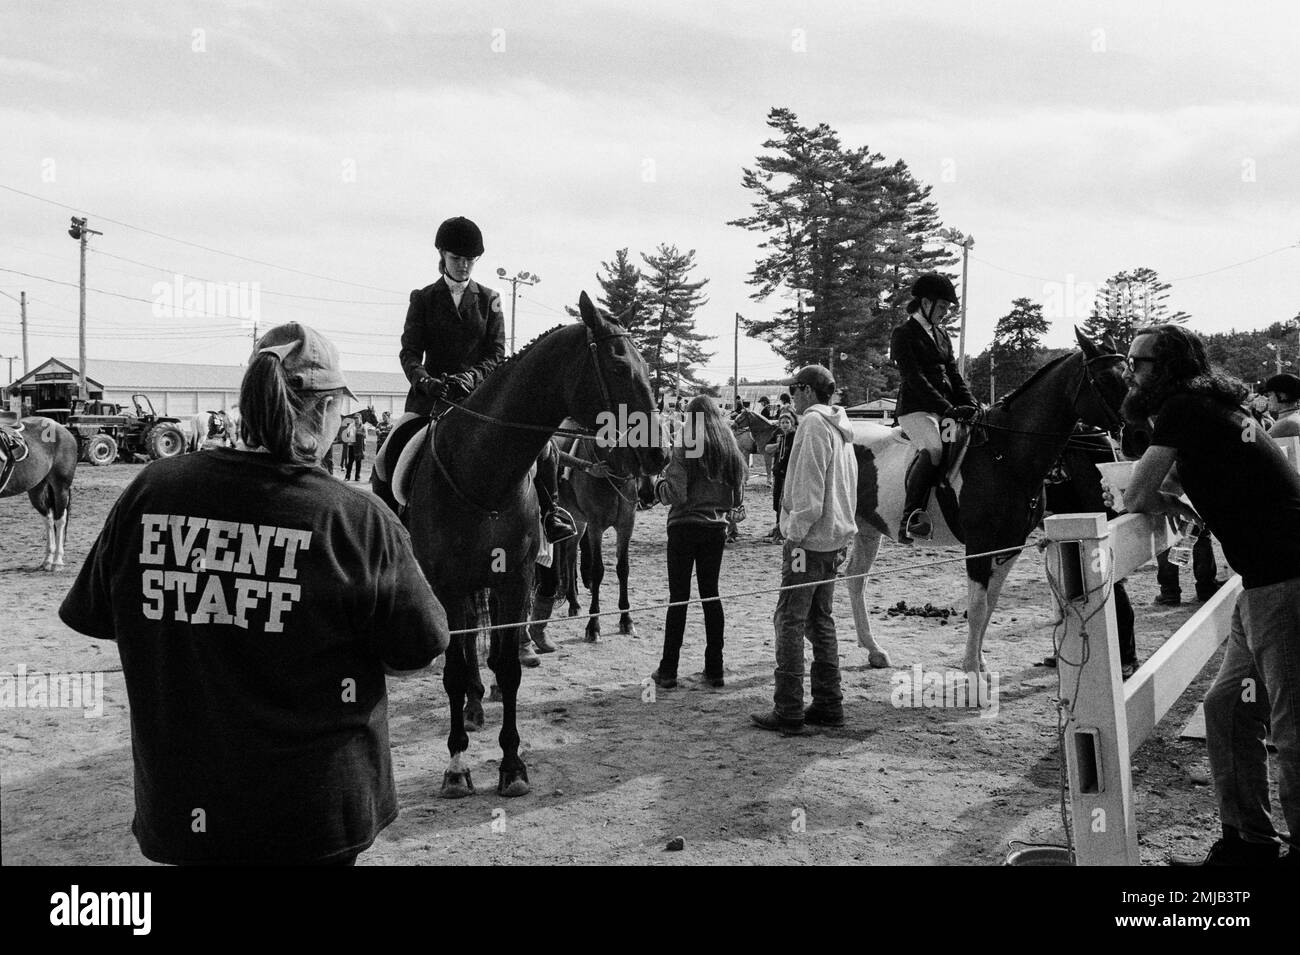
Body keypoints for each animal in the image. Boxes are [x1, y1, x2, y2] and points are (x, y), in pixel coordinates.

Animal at [0, 415, 79, 566]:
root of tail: (60, 427)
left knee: (60, 520)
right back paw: (48, 559)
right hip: (36, 489)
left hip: (61, 487)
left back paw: (57, 561)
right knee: (48, 518)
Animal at [403, 293, 670, 800]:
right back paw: (471, 706)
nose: (658, 455)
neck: (482, 471)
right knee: (465, 645)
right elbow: (453, 669)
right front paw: (457, 767)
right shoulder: (448, 583)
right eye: (620, 366)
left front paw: (512, 765)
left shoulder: (514, 578)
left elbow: (508, 668)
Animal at [842, 332, 1128, 675]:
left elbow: (990, 603)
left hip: (868, 528)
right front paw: (971, 668)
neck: (1006, 455)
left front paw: (979, 659)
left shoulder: (1010, 544)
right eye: (1104, 379)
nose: (1132, 429)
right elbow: (978, 605)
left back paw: (874, 650)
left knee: (855, 579)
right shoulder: (979, 543)